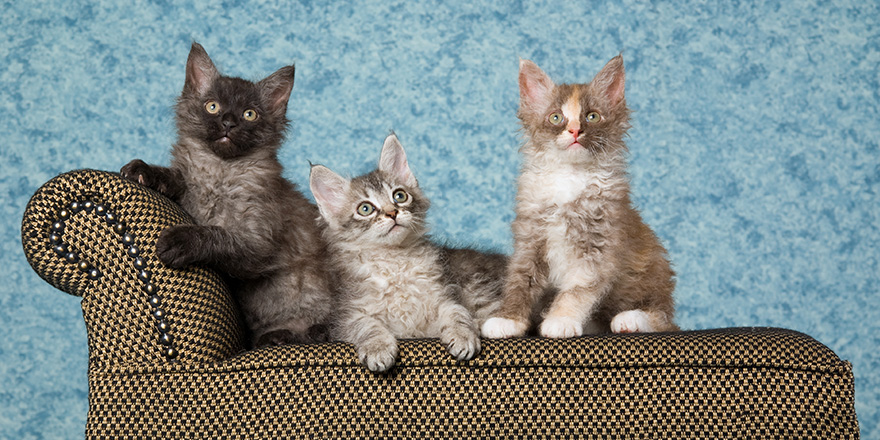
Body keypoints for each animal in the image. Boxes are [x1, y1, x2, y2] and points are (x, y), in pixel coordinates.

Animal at [120, 42, 334, 348]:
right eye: (213, 107)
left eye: (249, 114)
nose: (229, 122)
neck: (220, 172)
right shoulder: (189, 186)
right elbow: (175, 178)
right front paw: (143, 172)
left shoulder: (257, 242)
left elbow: (216, 235)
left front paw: (179, 241)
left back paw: (289, 335)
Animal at [310, 133, 506, 372]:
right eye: (365, 209)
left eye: (400, 196)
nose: (392, 213)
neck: (396, 261)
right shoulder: (346, 316)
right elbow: (366, 325)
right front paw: (378, 348)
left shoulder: (445, 295)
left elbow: (457, 313)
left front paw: (463, 335)